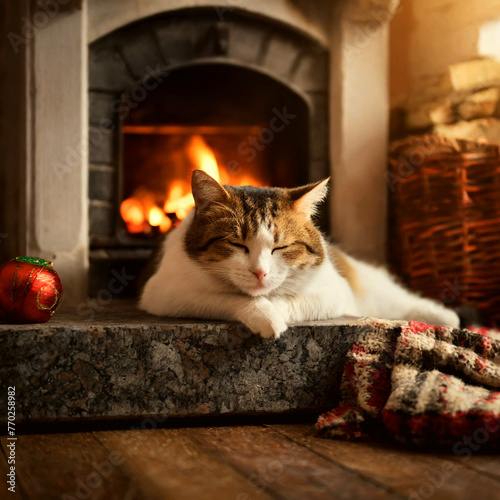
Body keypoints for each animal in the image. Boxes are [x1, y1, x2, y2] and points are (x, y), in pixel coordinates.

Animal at [139, 170, 458, 338]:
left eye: (280, 247)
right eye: (238, 245)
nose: (260, 272)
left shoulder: (333, 292)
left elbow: (290, 299)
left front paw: (273, 312)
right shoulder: (166, 293)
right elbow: (232, 297)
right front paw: (264, 315)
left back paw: (444, 317)